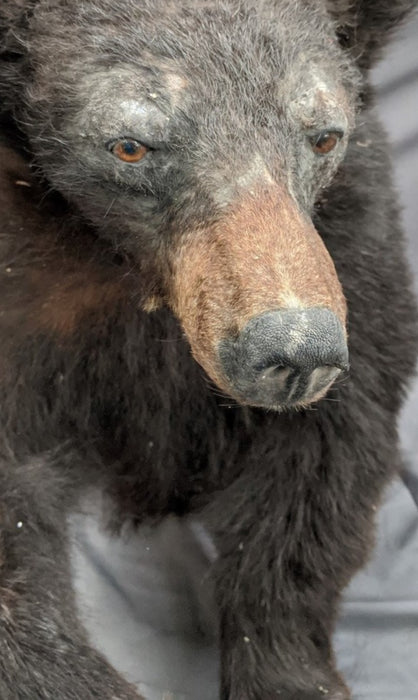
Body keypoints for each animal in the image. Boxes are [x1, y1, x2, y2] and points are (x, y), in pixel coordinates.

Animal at [0, 0, 418, 696]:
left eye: (325, 136)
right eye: (130, 146)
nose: (296, 348)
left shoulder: (355, 243)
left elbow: (324, 466)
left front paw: (287, 669)